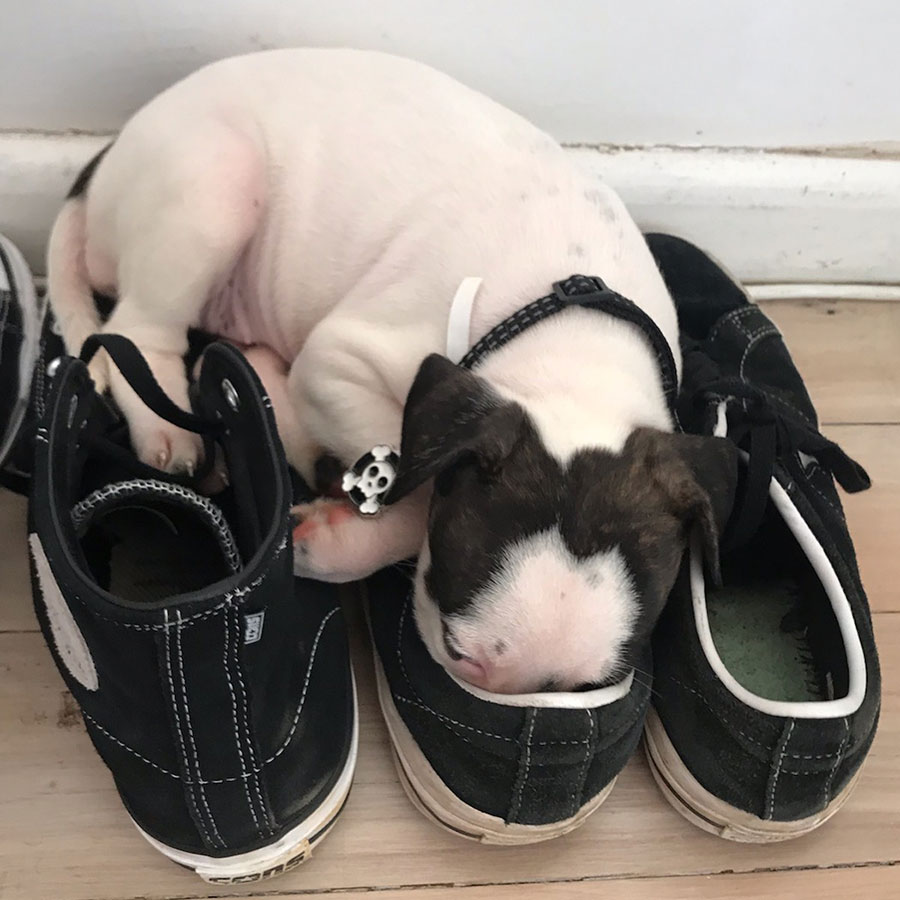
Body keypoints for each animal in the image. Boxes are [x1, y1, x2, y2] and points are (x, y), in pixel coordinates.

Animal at [45, 49, 740, 692]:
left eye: (583, 687)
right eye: (457, 649)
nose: (486, 691)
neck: (576, 351)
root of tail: (105, 160)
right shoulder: (339, 363)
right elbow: (416, 486)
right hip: (213, 190)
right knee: (138, 330)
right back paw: (167, 426)